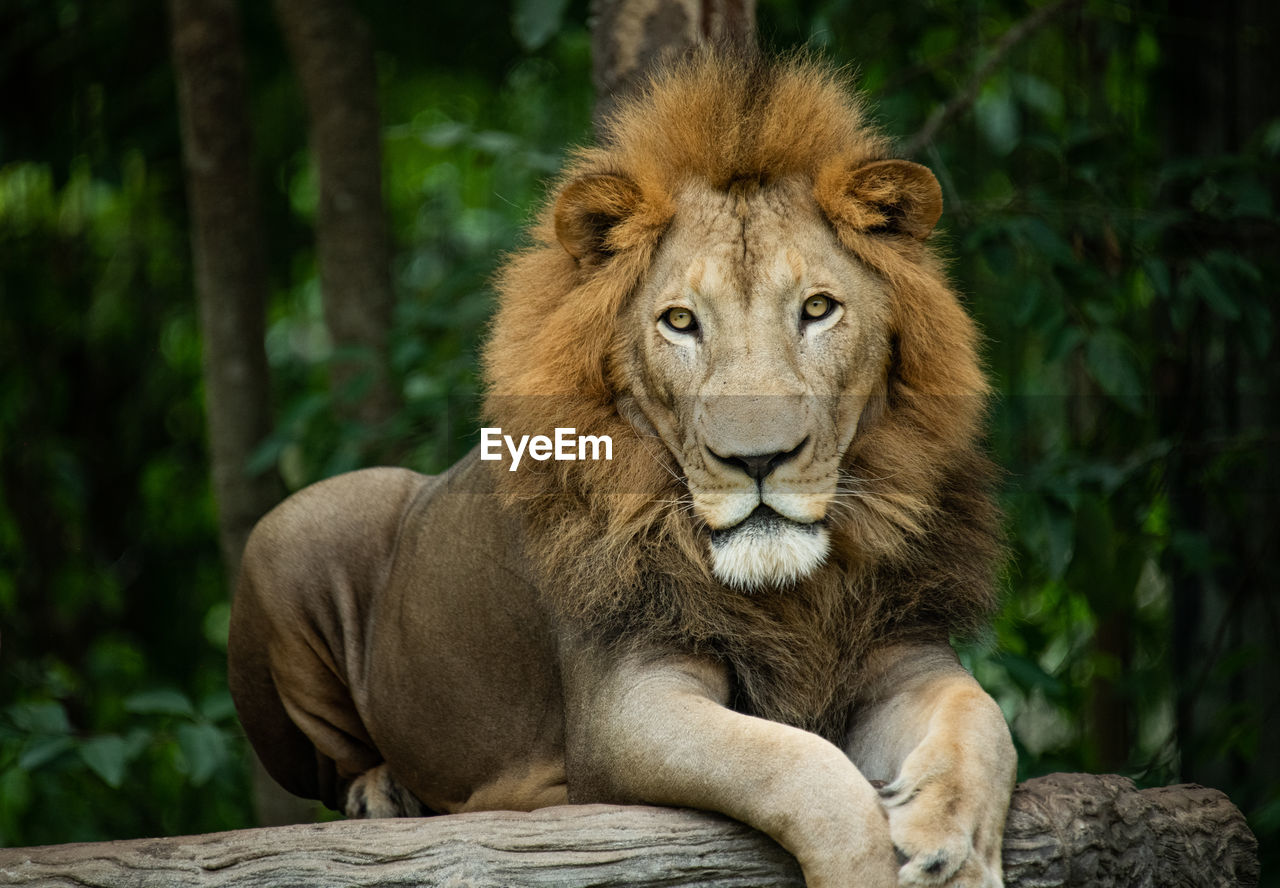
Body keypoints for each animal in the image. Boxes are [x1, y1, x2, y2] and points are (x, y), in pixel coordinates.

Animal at [227, 52, 1008, 885]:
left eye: (819, 309)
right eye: (680, 322)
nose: (758, 460)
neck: (792, 592)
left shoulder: (903, 655)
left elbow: (985, 719)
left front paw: (954, 848)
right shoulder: (627, 707)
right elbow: (803, 768)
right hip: (298, 523)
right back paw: (383, 793)